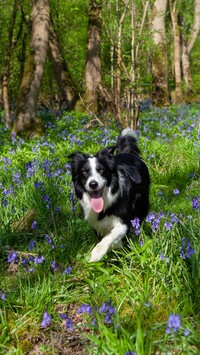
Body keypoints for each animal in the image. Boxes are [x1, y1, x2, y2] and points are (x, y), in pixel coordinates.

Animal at [68, 129, 149, 262]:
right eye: (84, 171)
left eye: (101, 170)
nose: (93, 184)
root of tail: (127, 153)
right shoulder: (96, 224)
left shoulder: (123, 222)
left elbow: (110, 237)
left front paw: (96, 254)